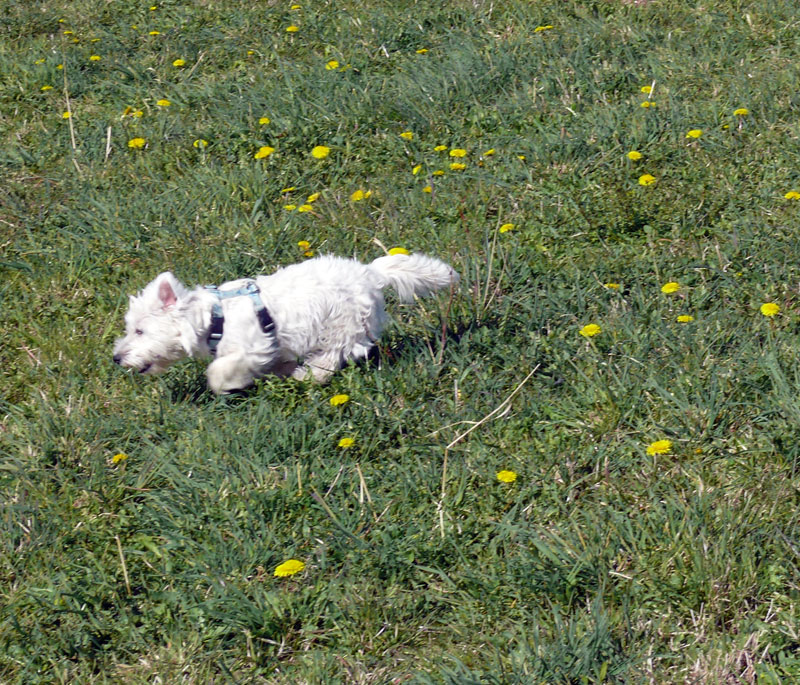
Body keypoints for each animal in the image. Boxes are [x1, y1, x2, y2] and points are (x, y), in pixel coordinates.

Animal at [113, 252, 458, 393]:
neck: (215, 318)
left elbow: (220, 372)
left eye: (140, 330)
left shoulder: (252, 346)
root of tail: (371, 274)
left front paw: (228, 384)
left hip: (342, 326)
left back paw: (307, 376)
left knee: (332, 358)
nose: (116, 357)